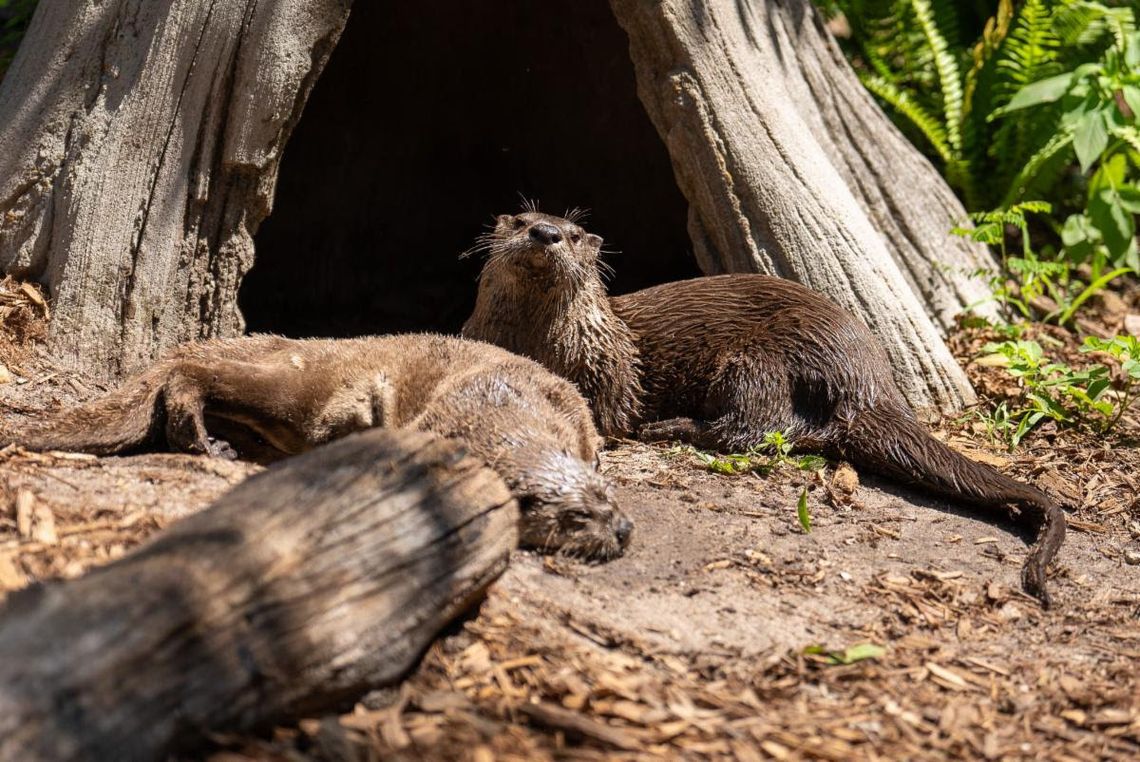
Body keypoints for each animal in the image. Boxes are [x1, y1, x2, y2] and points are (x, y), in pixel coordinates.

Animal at [1, 334, 632, 561]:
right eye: (577, 517)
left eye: (608, 500)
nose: (623, 529)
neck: (504, 407)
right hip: (301, 387)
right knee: (189, 371)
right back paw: (201, 440)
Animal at [462, 211, 1066, 605]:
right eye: (520, 221)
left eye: (569, 232)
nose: (544, 234)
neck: (542, 341)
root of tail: (869, 377)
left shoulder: (611, 375)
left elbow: (609, 419)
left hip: (759, 360)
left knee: (760, 429)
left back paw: (669, 426)